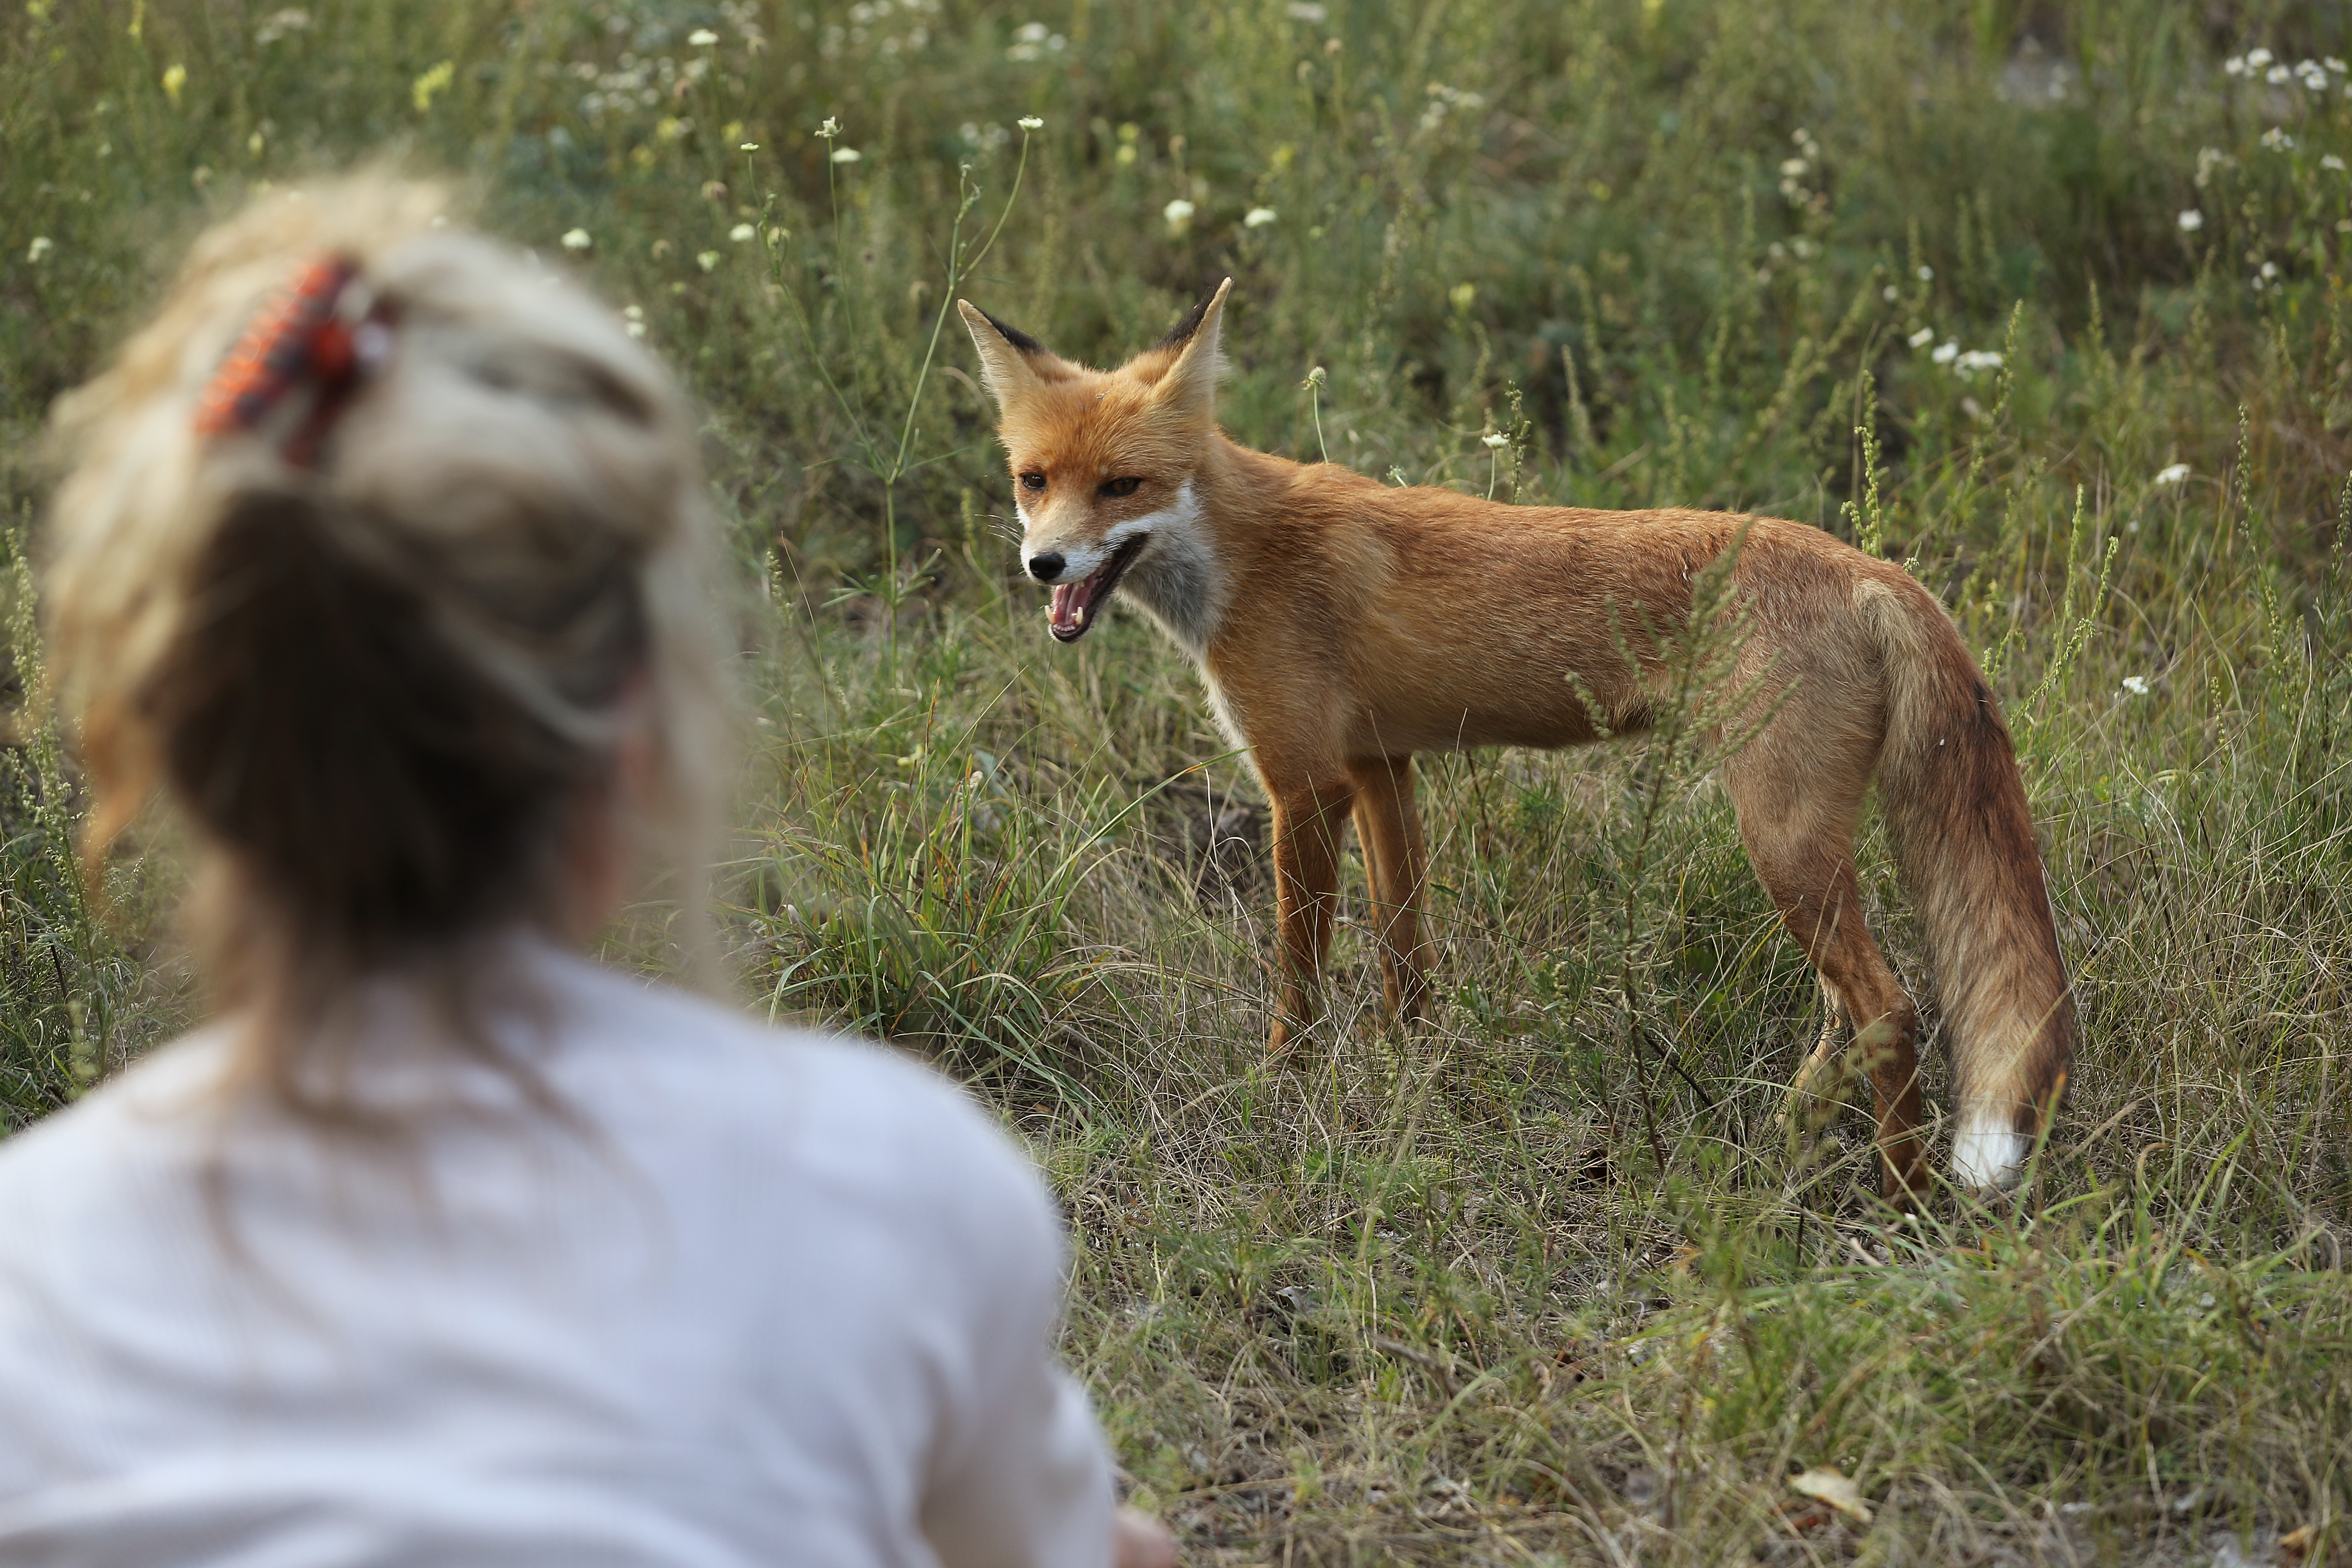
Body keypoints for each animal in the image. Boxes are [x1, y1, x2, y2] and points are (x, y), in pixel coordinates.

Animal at [955, 282, 2079, 1194]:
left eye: (1122, 487)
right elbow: (1406, 960)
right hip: (1799, 854)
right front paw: (1413, 1081)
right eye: (1032, 479)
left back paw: (1899, 1201)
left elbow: (1298, 978)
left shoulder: (1302, 784)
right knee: (1846, 1008)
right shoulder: (1380, 767)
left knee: (1890, 1008)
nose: (1044, 566)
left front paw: (1282, 1094)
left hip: (1780, 839)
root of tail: (1872, 567)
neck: (1244, 557)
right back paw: (1777, 1146)